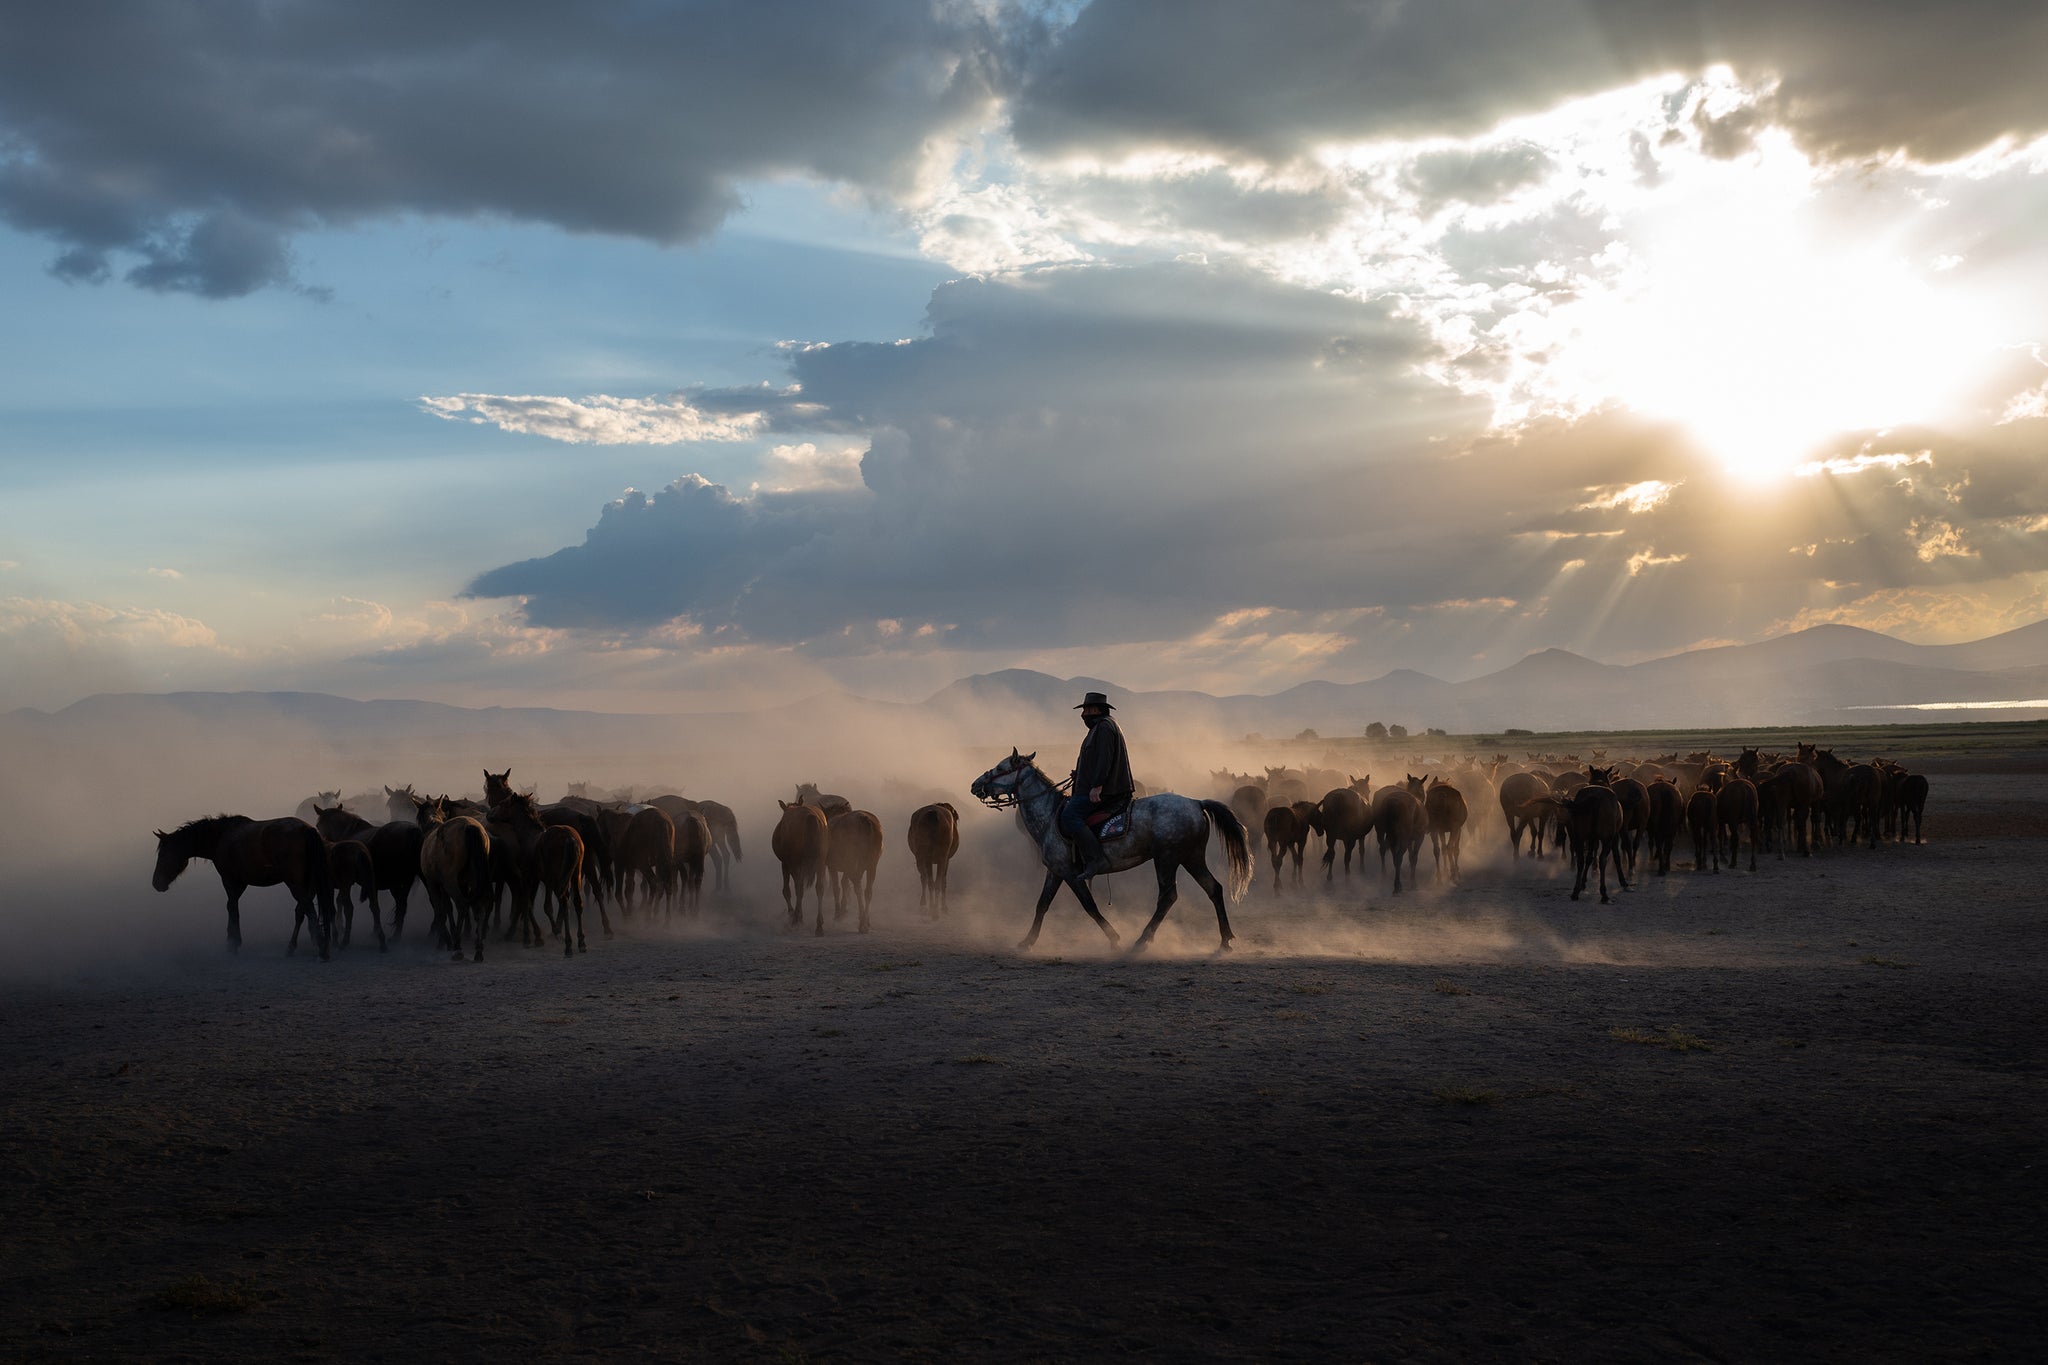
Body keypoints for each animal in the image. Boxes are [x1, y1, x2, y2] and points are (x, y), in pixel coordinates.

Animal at [152, 815, 336, 960]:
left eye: (163, 854)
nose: (156, 883)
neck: (221, 836)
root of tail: (306, 829)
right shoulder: (241, 883)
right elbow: (233, 906)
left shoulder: (229, 880)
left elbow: (232, 907)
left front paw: (232, 943)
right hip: (308, 884)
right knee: (303, 911)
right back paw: (302, 946)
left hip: (295, 884)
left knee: (306, 908)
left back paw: (317, 948)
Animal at [772, 800, 830, 934]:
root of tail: (811, 817)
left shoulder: (786, 863)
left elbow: (787, 890)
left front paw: (793, 914)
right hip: (820, 860)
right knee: (820, 887)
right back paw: (819, 925)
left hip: (797, 862)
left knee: (799, 888)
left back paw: (795, 919)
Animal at [970, 749, 1250, 953]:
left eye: (1001, 768)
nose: (975, 785)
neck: (1050, 816)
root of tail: (1196, 802)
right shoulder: (1056, 871)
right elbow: (1042, 904)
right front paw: (1027, 941)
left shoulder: (1072, 874)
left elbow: (1089, 906)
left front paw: (1114, 938)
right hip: (1191, 857)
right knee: (1213, 888)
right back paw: (1225, 939)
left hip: (1167, 859)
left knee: (1168, 897)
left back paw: (1142, 940)